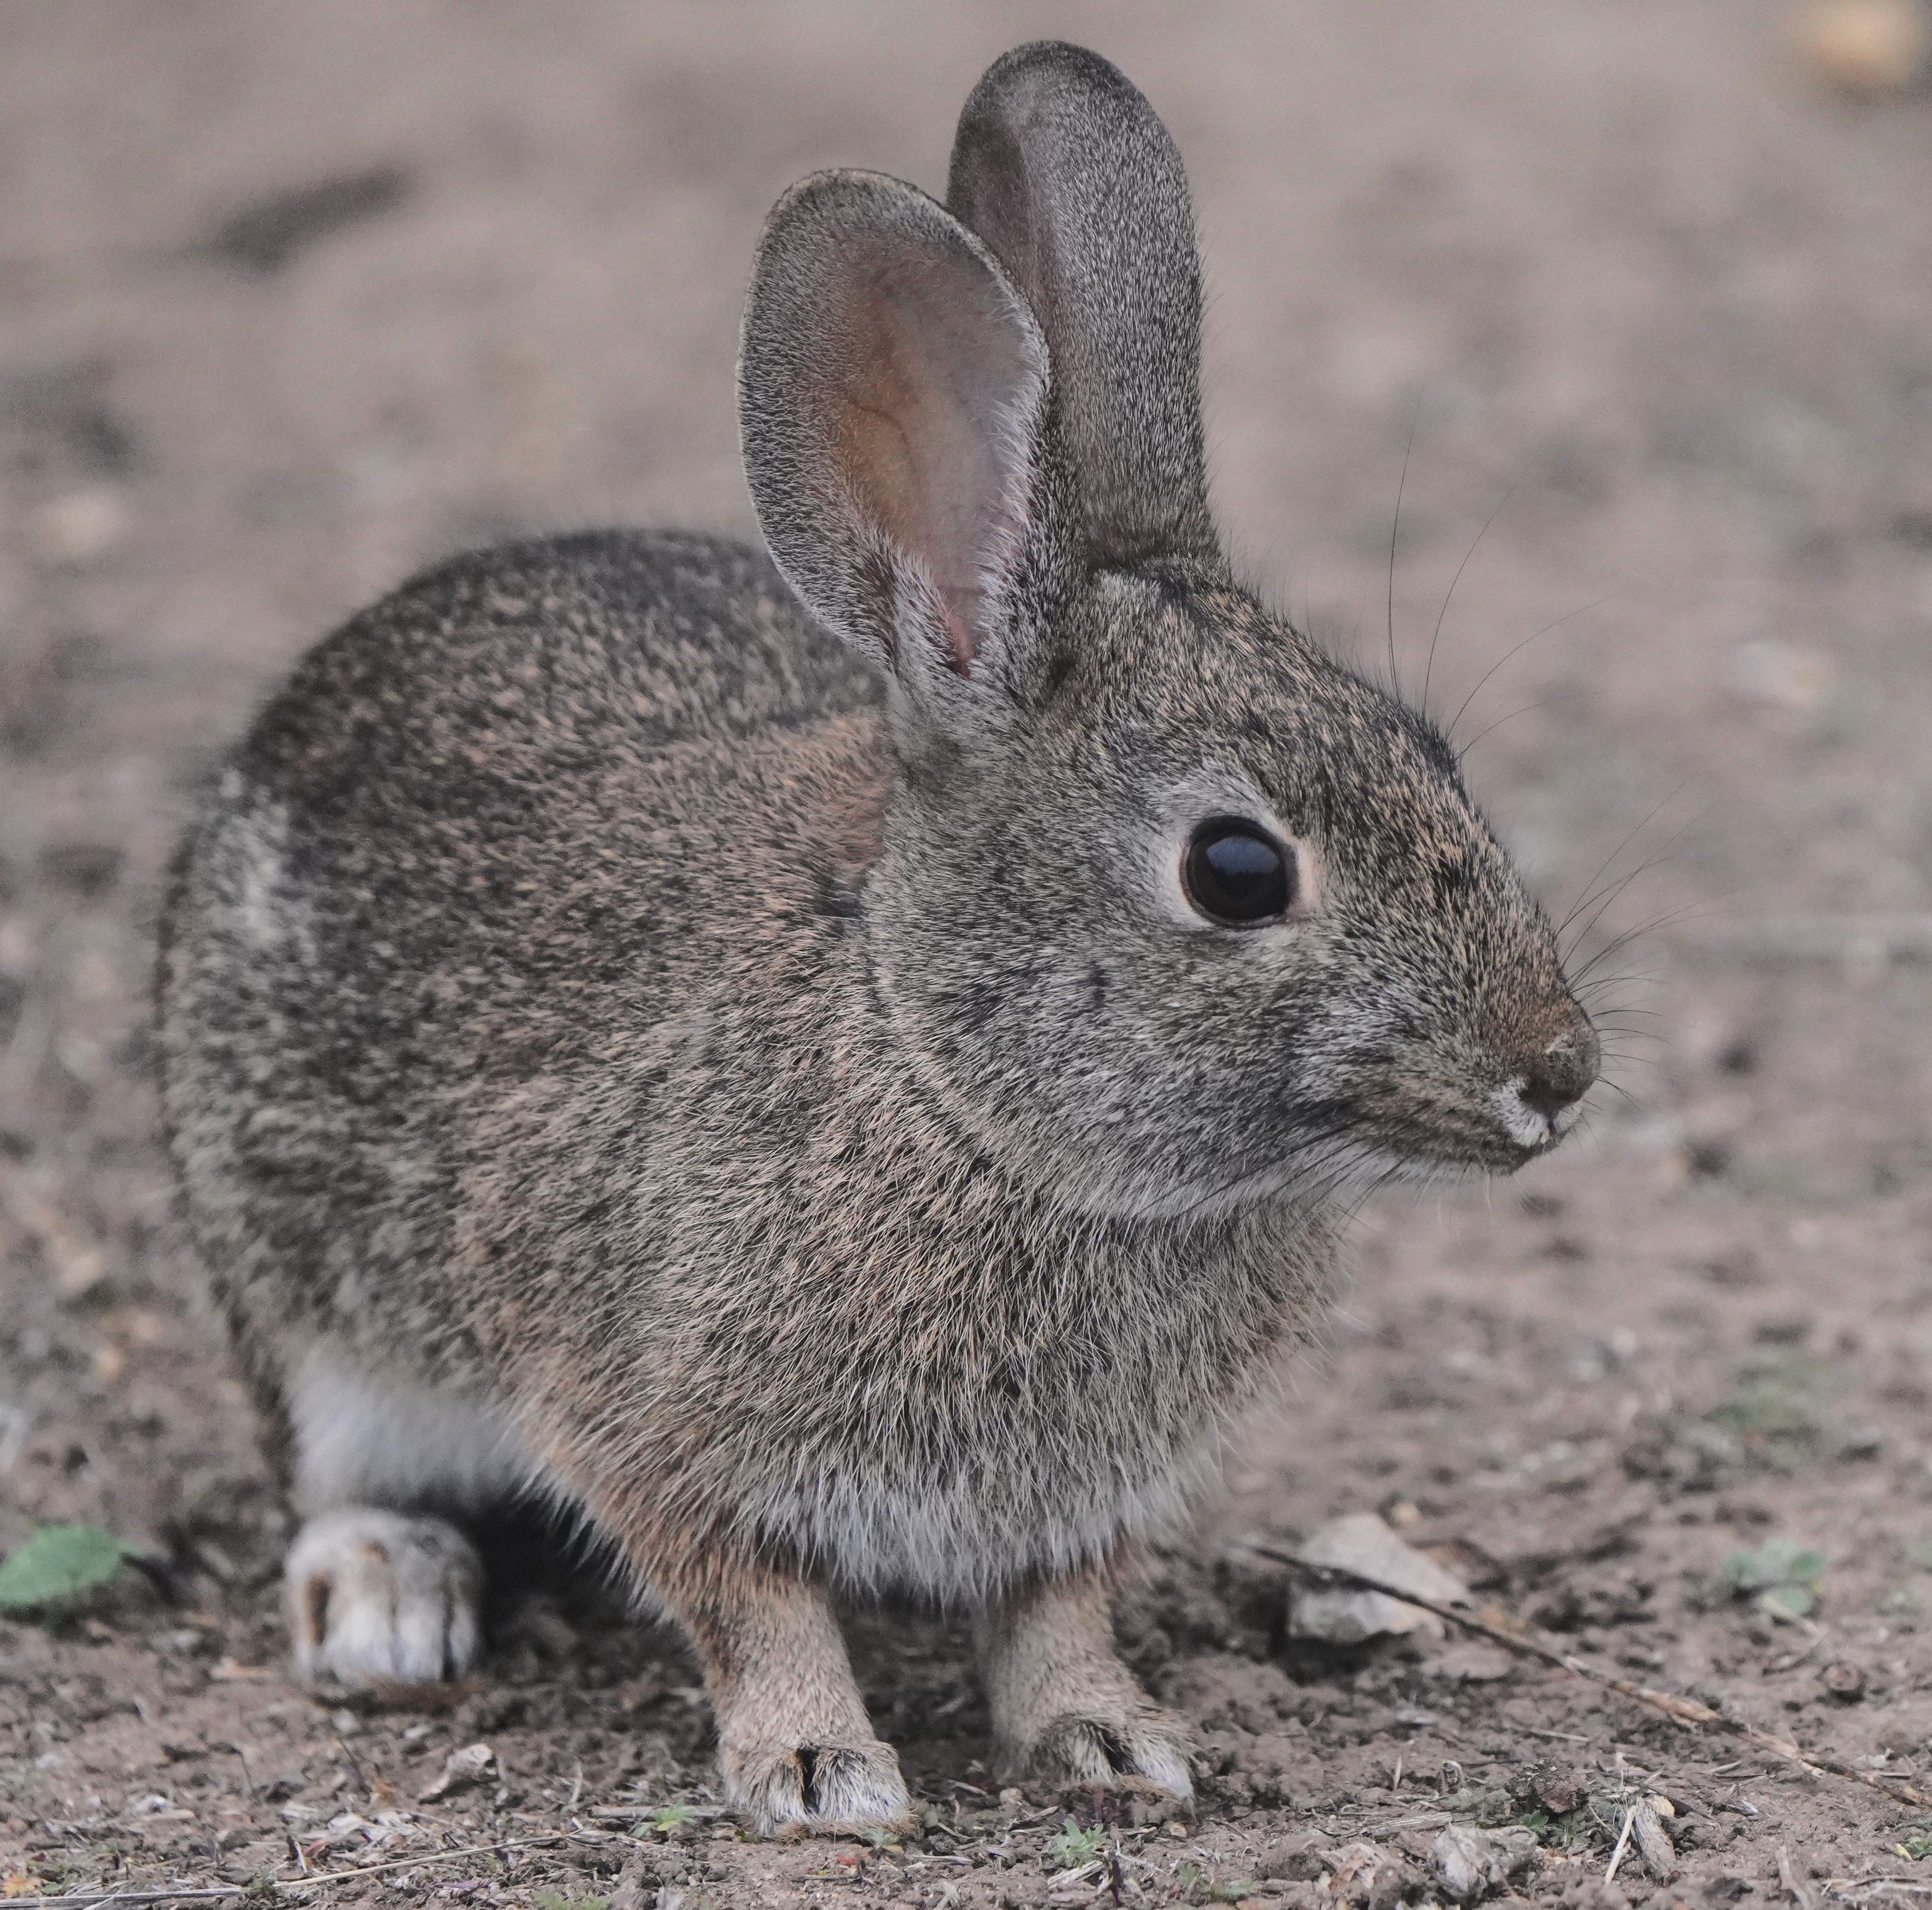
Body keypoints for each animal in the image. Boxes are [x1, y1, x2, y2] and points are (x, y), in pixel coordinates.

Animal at [156, 40, 1598, 1836]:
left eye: (1435, 753)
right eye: (1236, 869)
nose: (1561, 1072)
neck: (948, 1073)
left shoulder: (1071, 1504)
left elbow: (1054, 1615)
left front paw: (1110, 1737)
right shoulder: (646, 1411)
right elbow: (749, 1599)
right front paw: (815, 1768)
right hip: (294, 1279)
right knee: (326, 1463)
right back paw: (390, 1601)